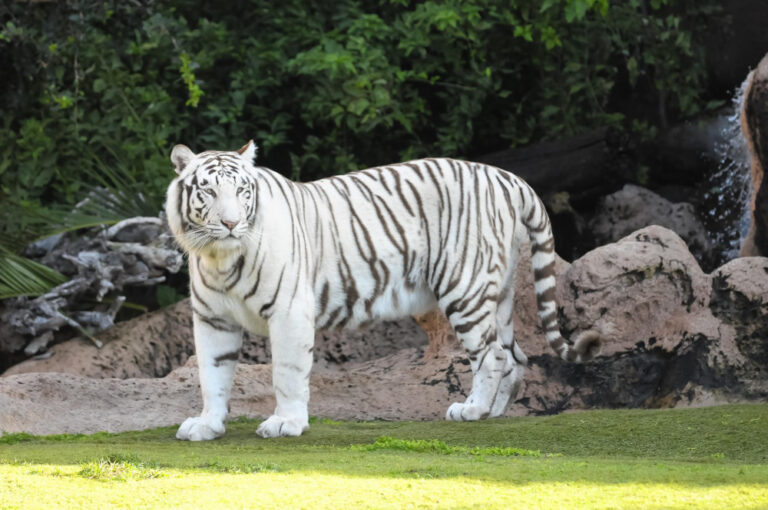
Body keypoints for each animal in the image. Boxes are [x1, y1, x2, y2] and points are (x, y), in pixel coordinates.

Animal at [166, 139, 600, 438]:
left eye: (242, 191)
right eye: (208, 192)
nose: (231, 224)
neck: (221, 258)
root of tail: (506, 176)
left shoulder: (289, 312)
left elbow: (286, 373)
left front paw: (286, 423)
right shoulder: (213, 320)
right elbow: (212, 375)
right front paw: (207, 426)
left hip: (465, 288)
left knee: (491, 355)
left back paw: (472, 410)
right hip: (501, 295)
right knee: (514, 355)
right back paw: (492, 412)